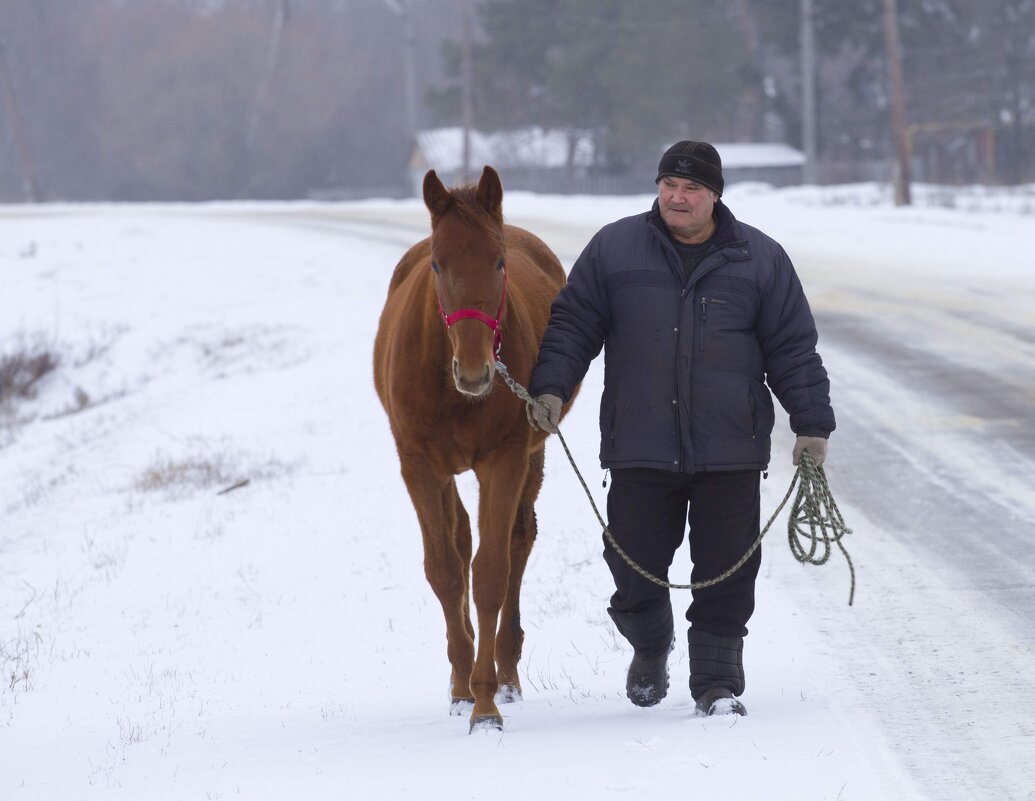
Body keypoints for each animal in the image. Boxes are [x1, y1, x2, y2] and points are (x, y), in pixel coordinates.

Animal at [372, 166, 575, 732]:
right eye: (438, 263)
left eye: (499, 261)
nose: (475, 371)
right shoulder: (419, 467)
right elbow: (445, 568)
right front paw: (463, 688)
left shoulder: (504, 460)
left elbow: (489, 573)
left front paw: (485, 704)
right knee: (460, 538)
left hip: (531, 456)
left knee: (517, 540)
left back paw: (505, 673)